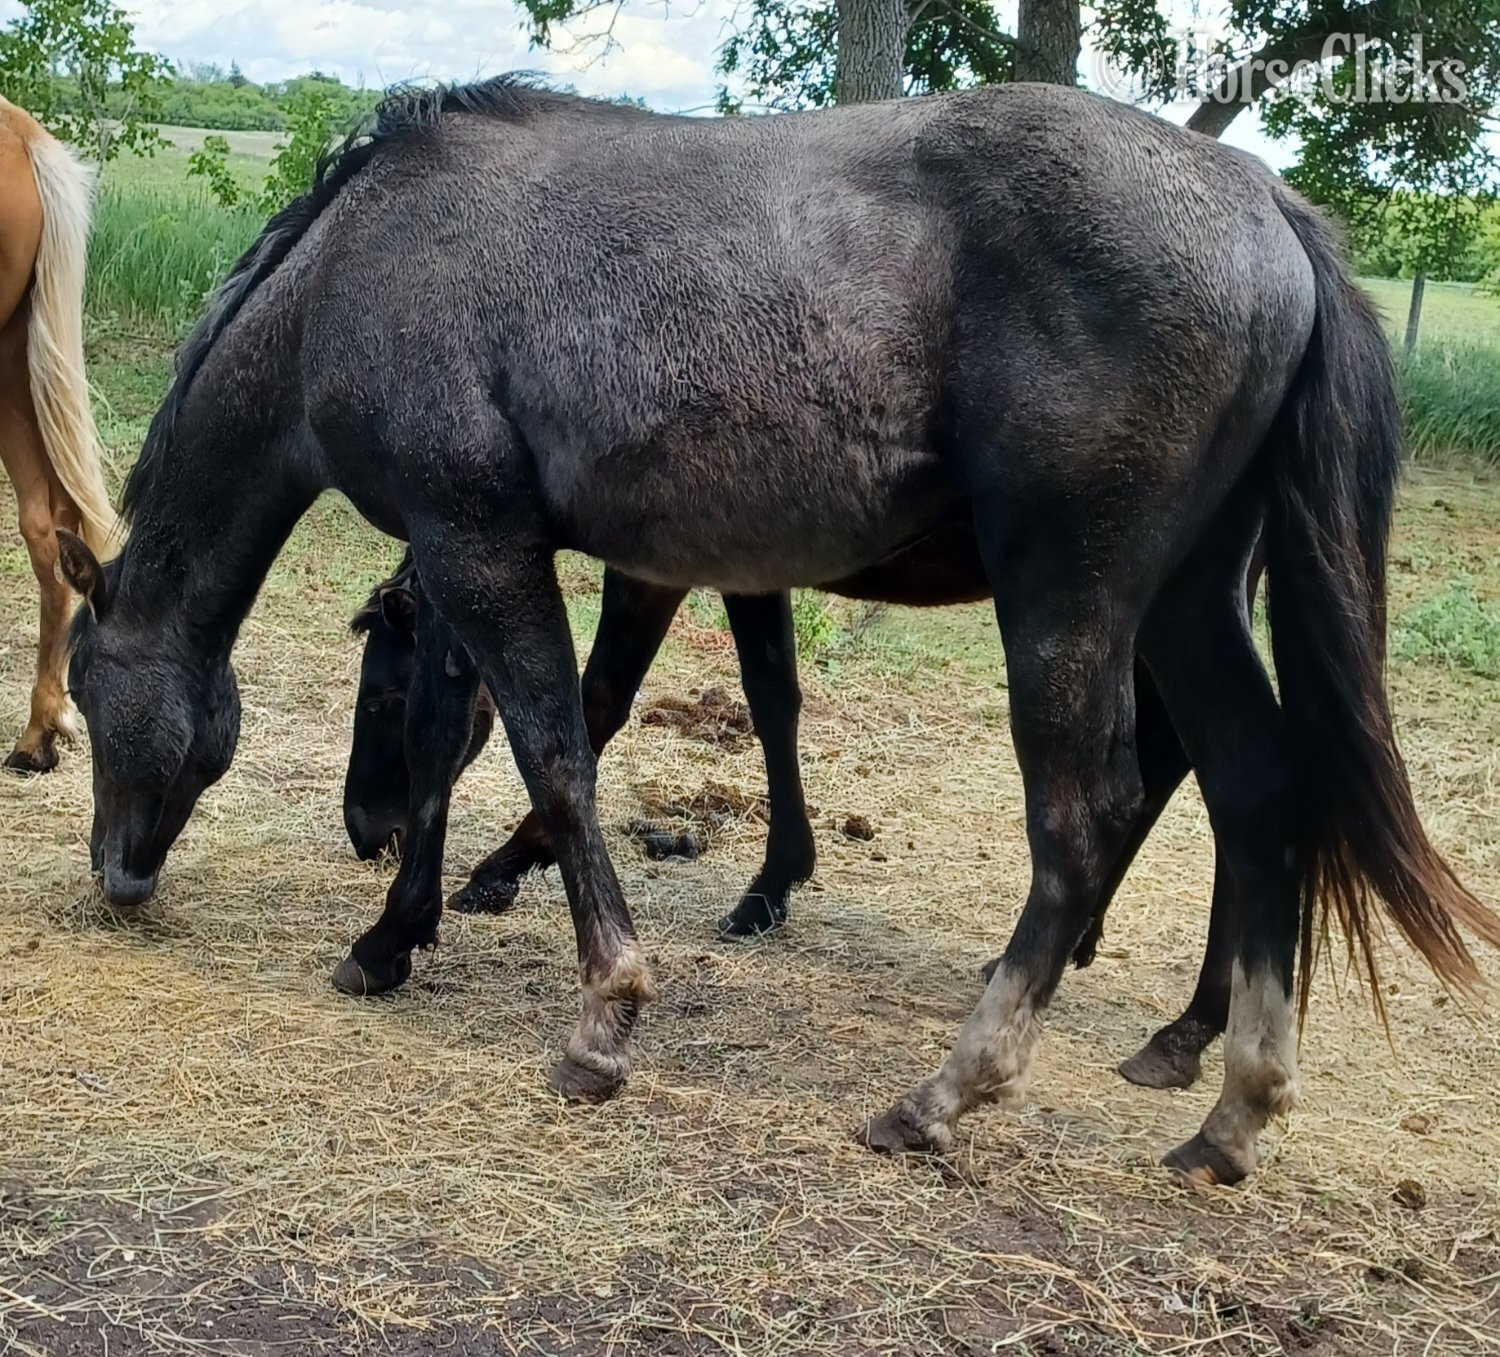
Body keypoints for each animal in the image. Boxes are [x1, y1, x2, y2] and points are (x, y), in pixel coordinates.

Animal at [344, 544, 1254, 1091]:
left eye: (384, 695)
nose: (363, 828)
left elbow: (597, 698)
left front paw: (501, 866)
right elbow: (772, 688)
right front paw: (777, 878)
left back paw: (1189, 1027)